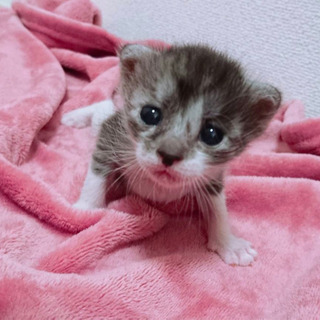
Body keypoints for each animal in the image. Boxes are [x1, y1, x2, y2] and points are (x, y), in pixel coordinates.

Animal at [62, 43, 280, 266]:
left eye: (212, 134)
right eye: (149, 114)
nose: (169, 155)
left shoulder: (212, 175)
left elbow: (218, 206)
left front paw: (228, 243)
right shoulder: (113, 135)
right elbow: (96, 172)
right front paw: (85, 210)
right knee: (103, 109)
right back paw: (75, 117)